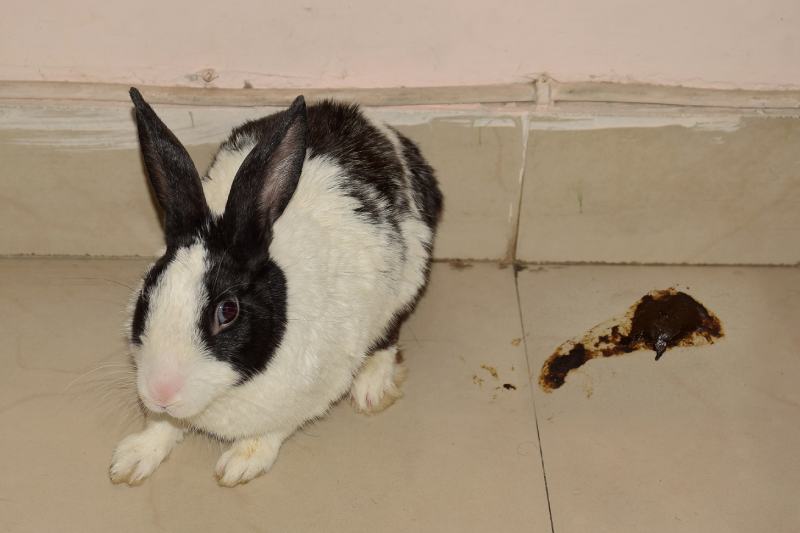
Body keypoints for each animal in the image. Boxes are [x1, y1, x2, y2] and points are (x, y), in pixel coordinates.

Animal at [109, 88, 443, 487]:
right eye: (148, 291)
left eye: (228, 311)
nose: (161, 391)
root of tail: (383, 130)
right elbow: (164, 426)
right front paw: (132, 459)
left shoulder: (312, 391)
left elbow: (270, 430)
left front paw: (240, 463)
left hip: (407, 278)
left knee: (389, 335)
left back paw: (371, 388)